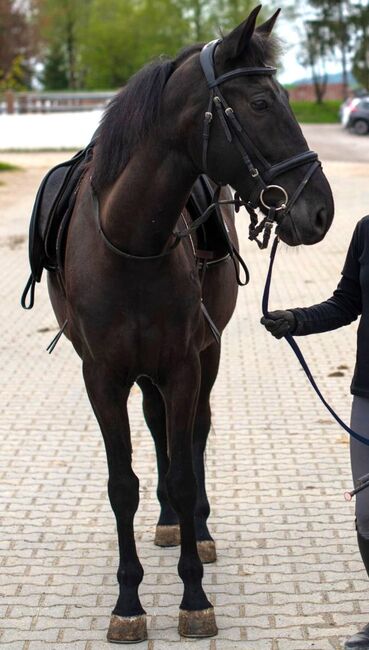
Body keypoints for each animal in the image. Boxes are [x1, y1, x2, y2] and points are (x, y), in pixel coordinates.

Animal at [43, 6, 334, 644]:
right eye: (260, 103)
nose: (320, 211)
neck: (131, 243)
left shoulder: (182, 365)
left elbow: (182, 466)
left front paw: (194, 596)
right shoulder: (102, 377)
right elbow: (122, 484)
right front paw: (128, 603)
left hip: (207, 354)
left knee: (193, 434)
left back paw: (194, 527)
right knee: (157, 432)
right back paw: (170, 523)